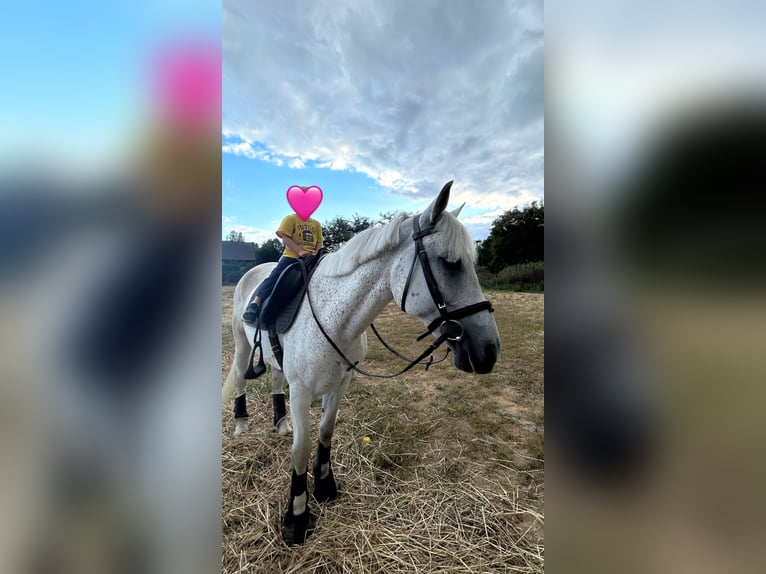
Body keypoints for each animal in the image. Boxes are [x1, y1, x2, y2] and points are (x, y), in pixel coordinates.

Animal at [222, 181, 501, 545]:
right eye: (450, 263)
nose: (489, 350)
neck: (335, 318)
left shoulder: (341, 383)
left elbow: (325, 432)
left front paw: (325, 486)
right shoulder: (301, 391)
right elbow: (301, 449)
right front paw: (296, 517)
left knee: (274, 380)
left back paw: (280, 423)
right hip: (242, 344)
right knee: (242, 376)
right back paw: (241, 424)